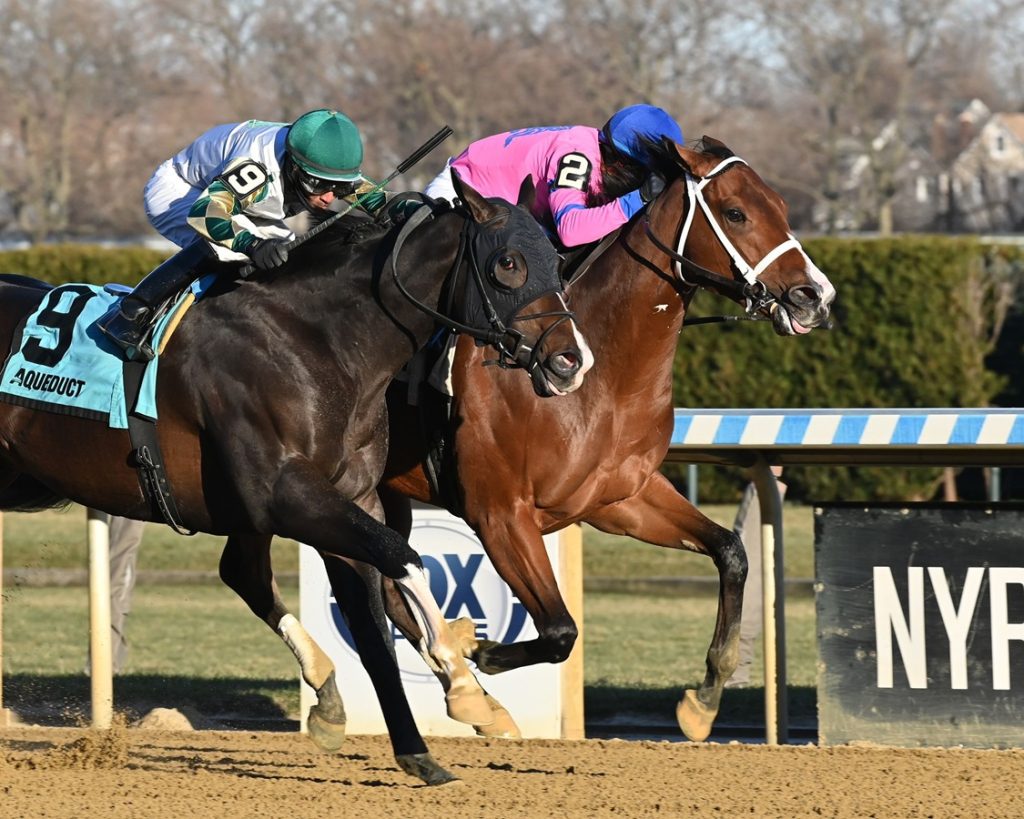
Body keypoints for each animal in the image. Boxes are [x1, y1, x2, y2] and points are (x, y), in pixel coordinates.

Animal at [0, 176, 593, 782]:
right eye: (509, 263)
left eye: (558, 260)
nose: (570, 362)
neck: (318, 339)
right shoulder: (288, 496)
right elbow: (404, 561)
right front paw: (461, 673)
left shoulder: (350, 498)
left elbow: (375, 625)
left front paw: (423, 743)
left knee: (244, 572)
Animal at [380, 136, 835, 741]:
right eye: (737, 213)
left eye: (781, 207)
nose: (816, 296)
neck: (601, 376)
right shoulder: (498, 511)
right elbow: (559, 631)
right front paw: (480, 649)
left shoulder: (619, 498)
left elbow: (731, 552)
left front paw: (703, 701)